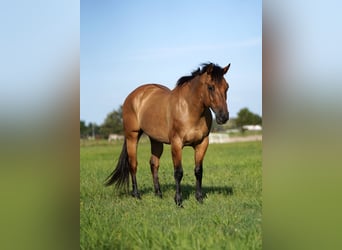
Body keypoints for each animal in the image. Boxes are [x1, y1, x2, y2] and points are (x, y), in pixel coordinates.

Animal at [104, 62, 231, 205]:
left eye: (226, 87)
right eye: (210, 87)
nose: (223, 117)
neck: (189, 109)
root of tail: (134, 95)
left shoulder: (202, 143)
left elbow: (198, 171)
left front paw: (199, 198)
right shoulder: (176, 144)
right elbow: (178, 172)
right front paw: (178, 201)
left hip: (156, 140)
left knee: (154, 164)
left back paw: (158, 194)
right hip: (132, 136)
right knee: (133, 164)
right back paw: (136, 195)